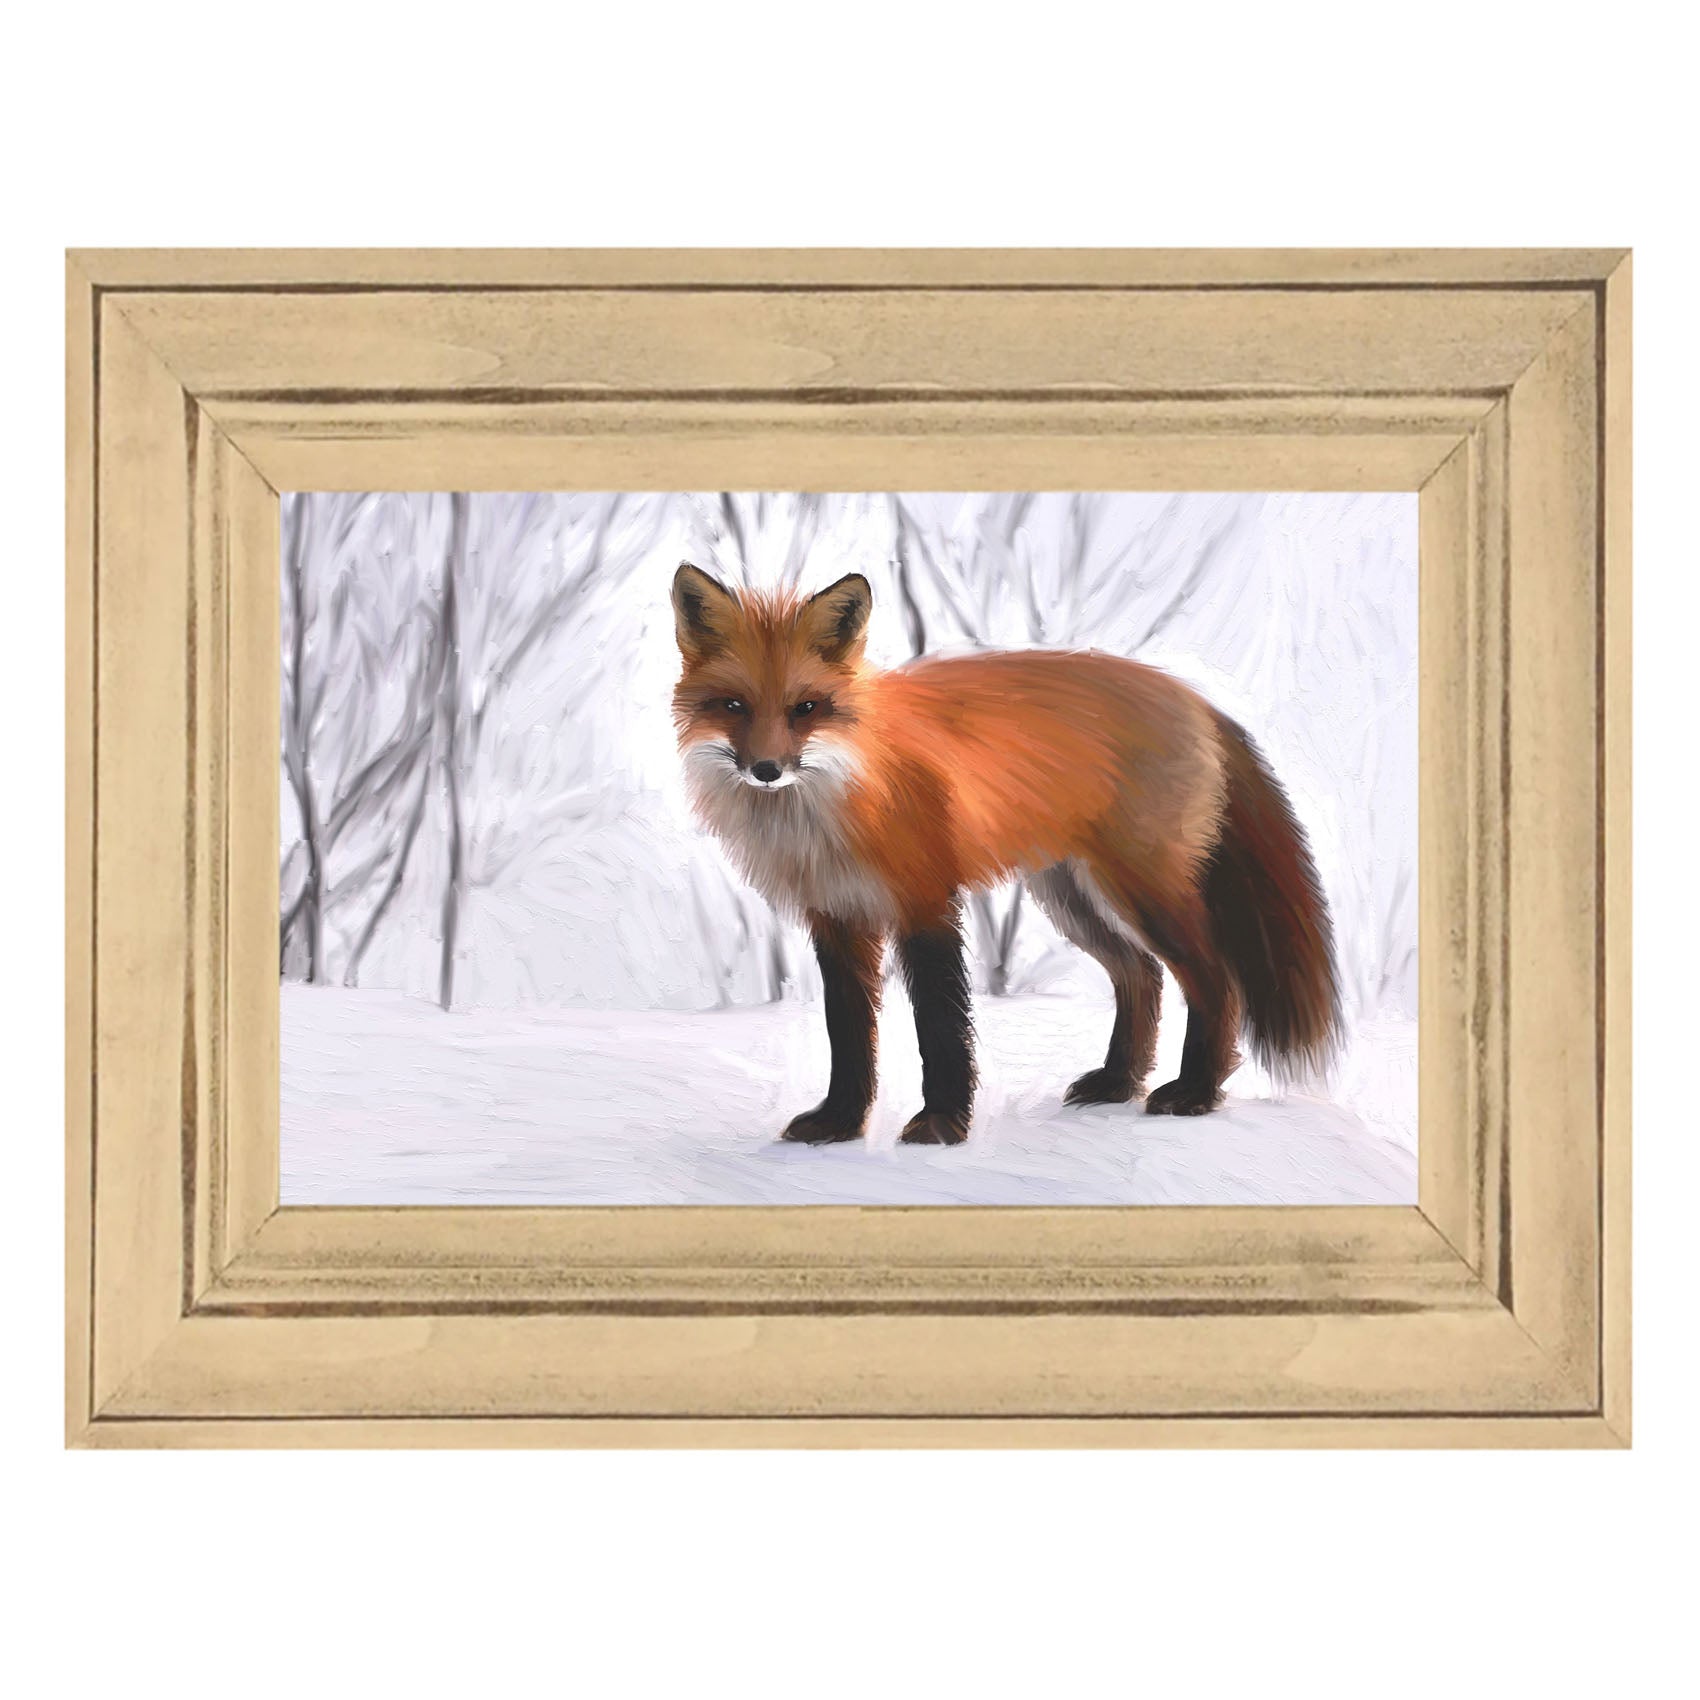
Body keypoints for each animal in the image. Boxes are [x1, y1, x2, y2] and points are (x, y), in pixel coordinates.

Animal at [671, 562, 1340, 1146]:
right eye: (734, 706)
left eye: (805, 708)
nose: (766, 770)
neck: (837, 802)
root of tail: (1194, 697)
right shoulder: (836, 918)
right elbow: (849, 1033)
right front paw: (839, 1123)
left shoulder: (925, 902)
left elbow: (940, 1026)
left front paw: (941, 1125)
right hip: (1071, 898)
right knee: (1140, 975)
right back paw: (1118, 1083)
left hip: (1144, 892)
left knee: (1214, 979)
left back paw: (1195, 1093)